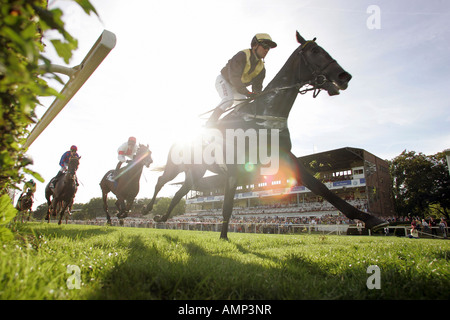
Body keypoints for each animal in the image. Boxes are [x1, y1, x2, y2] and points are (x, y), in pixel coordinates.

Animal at [143, 31, 386, 239]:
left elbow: (321, 187)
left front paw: (371, 219)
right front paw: (223, 237)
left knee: (179, 192)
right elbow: (227, 205)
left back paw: (160, 217)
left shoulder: (284, 156)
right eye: (315, 51)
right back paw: (145, 208)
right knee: (161, 181)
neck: (263, 115)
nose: (344, 76)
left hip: (196, 171)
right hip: (175, 165)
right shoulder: (234, 168)